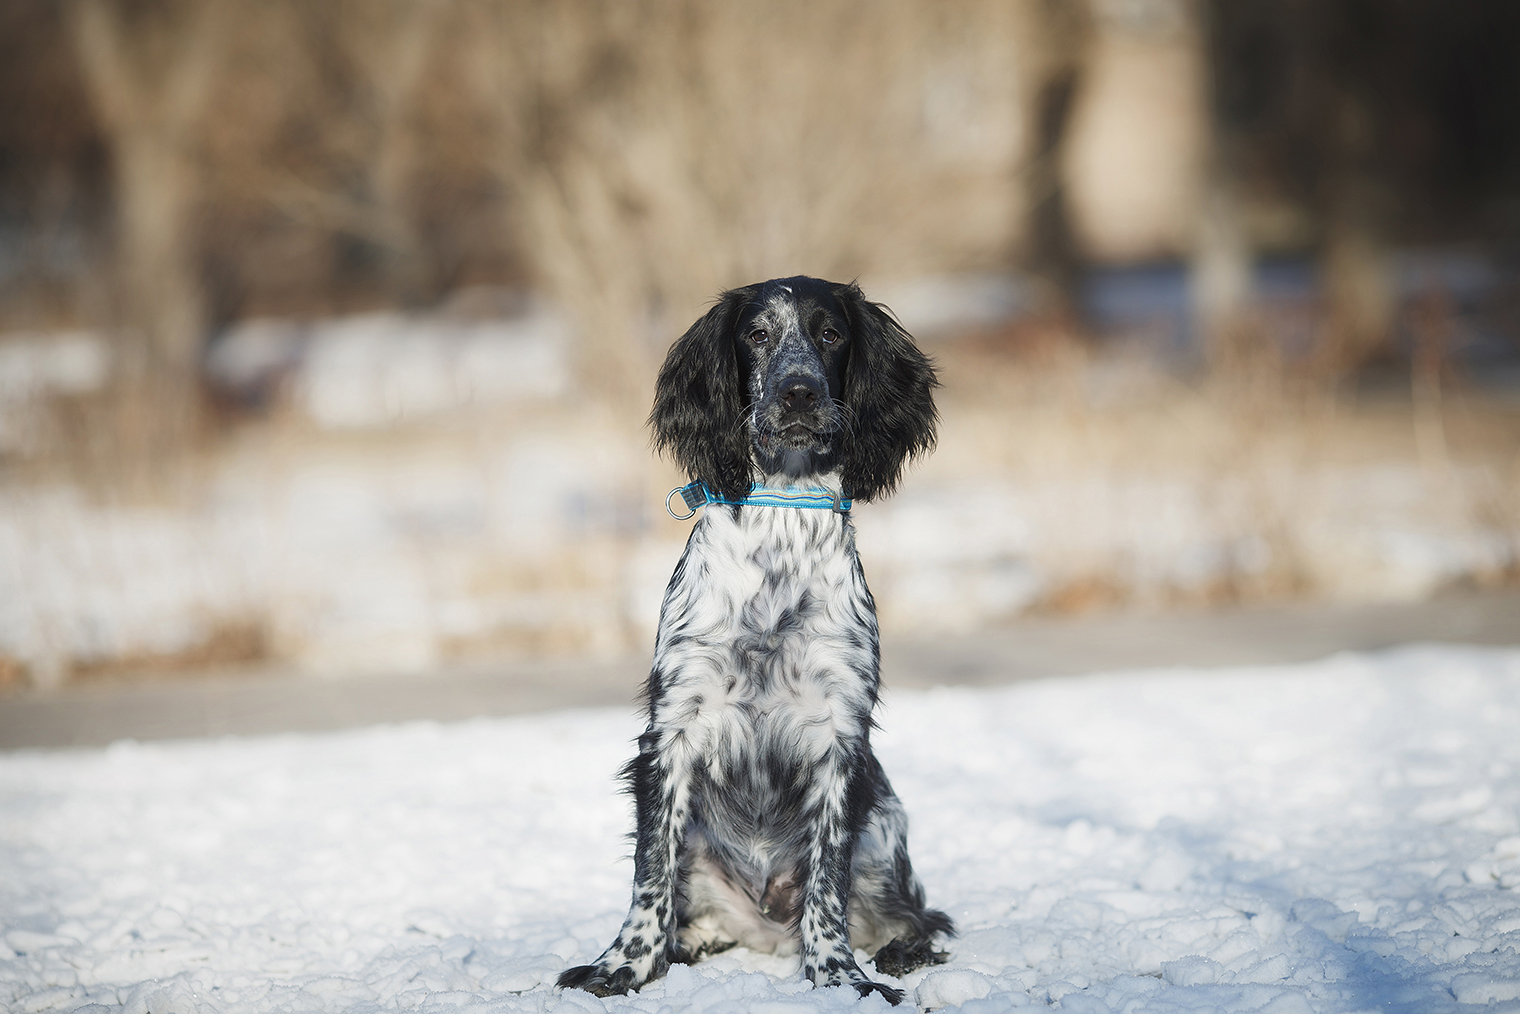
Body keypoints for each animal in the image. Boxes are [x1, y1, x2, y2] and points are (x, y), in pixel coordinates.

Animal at [562, 273, 948, 1003]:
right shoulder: (673, 731)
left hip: (884, 833)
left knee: (923, 919)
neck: (781, 522)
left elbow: (826, 881)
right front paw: (622, 966)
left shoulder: (841, 739)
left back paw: (895, 955)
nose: (797, 392)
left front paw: (838, 975)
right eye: (758, 334)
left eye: (830, 333)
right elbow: (649, 873)